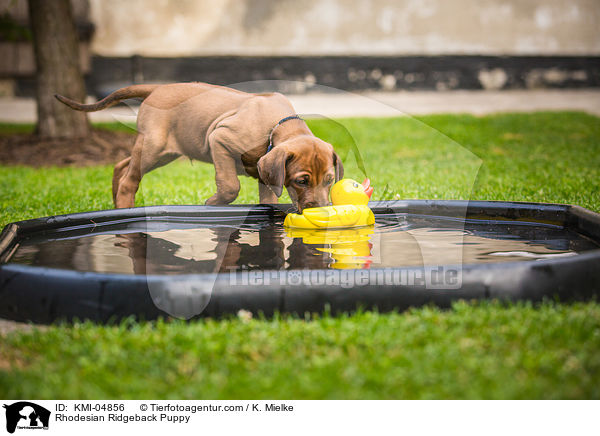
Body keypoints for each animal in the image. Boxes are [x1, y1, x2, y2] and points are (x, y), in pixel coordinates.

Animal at [58, 82, 346, 212]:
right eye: (302, 181)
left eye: (329, 180)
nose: (323, 210)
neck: (275, 127)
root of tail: (157, 88)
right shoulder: (219, 139)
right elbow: (230, 185)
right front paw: (211, 203)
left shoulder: (267, 174)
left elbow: (267, 199)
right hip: (153, 147)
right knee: (131, 178)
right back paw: (125, 206)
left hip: (163, 152)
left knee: (121, 166)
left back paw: (116, 203)